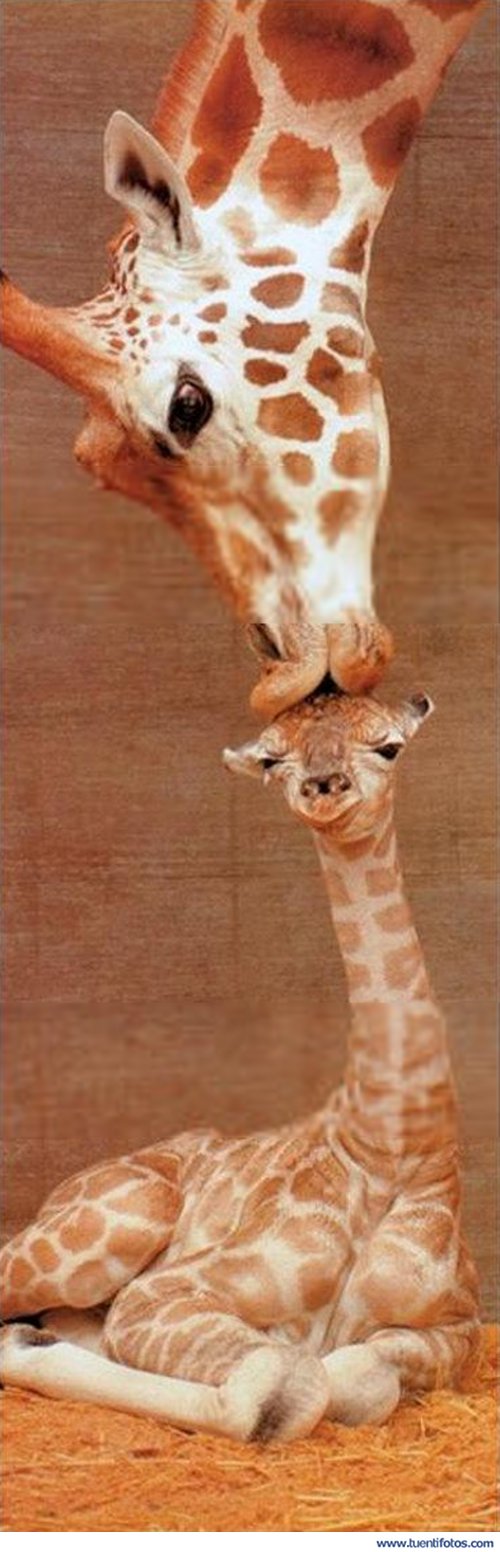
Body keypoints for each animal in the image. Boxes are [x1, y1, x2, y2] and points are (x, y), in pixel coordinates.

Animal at [0, 687, 479, 1442]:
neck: (391, 1151)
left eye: (389, 746)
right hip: (115, 1219)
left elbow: (356, 1379)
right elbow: (285, 1383)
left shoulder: (460, 1325)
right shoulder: (164, 1291)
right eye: (271, 760)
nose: (324, 787)